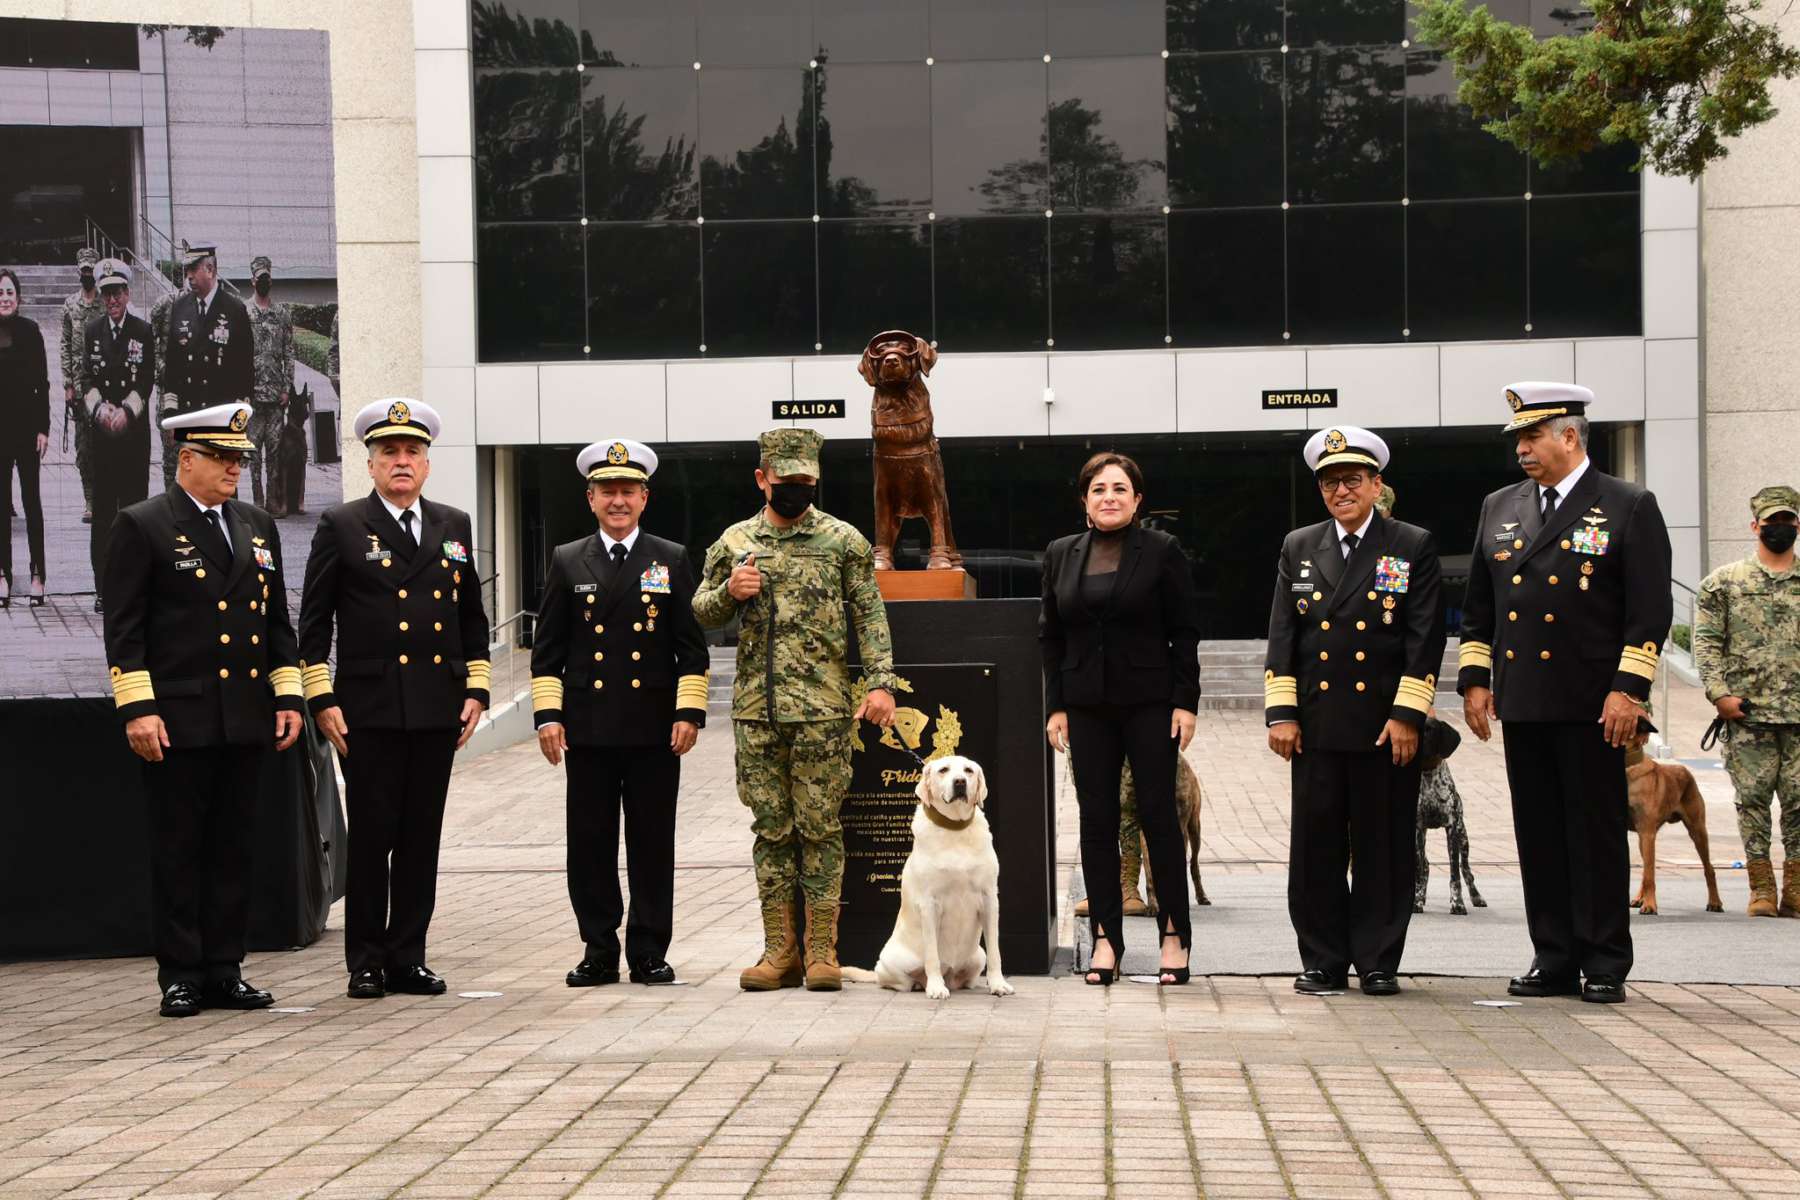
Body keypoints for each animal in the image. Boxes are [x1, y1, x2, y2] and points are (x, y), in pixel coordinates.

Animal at [838, 755, 1015, 1000]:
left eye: (968, 771)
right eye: (944, 770)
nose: (960, 782)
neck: (955, 829)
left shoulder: (989, 899)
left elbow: (995, 951)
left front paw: (998, 984)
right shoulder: (929, 904)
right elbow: (932, 955)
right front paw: (936, 988)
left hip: (977, 957)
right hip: (890, 962)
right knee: (900, 980)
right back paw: (922, 984)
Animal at [860, 329, 964, 572]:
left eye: (906, 348)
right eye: (880, 351)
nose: (890, 360)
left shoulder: (930, 487)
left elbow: (937, 526)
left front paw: (940, 563)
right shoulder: (882, 490)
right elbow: (881, 528)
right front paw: (881, 562)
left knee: (947, 529)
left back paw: (955, 563)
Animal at [1627, 723, 1720, 921]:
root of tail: (1684, 770)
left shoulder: (1647, 832)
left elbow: (1649, 875)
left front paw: (1650, 906)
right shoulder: (1640, 833)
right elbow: (1646, 872)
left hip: (1697, 830)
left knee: (1709, 869)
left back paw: (1715, 903)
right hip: (1644, 839)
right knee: (1646, 869)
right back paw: (1639, 899)